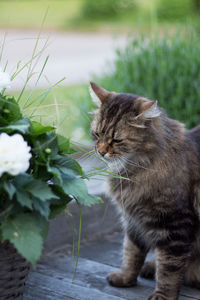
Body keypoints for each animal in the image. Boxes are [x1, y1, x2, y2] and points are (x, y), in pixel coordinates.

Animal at [90, 82, 200, 300]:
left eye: (117, 140)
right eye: (97, 134)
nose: (101, 151)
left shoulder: (177, 226)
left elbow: (169, 269)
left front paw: (163, 296)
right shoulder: (133, 221)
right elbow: (131, 253)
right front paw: (125, 278)